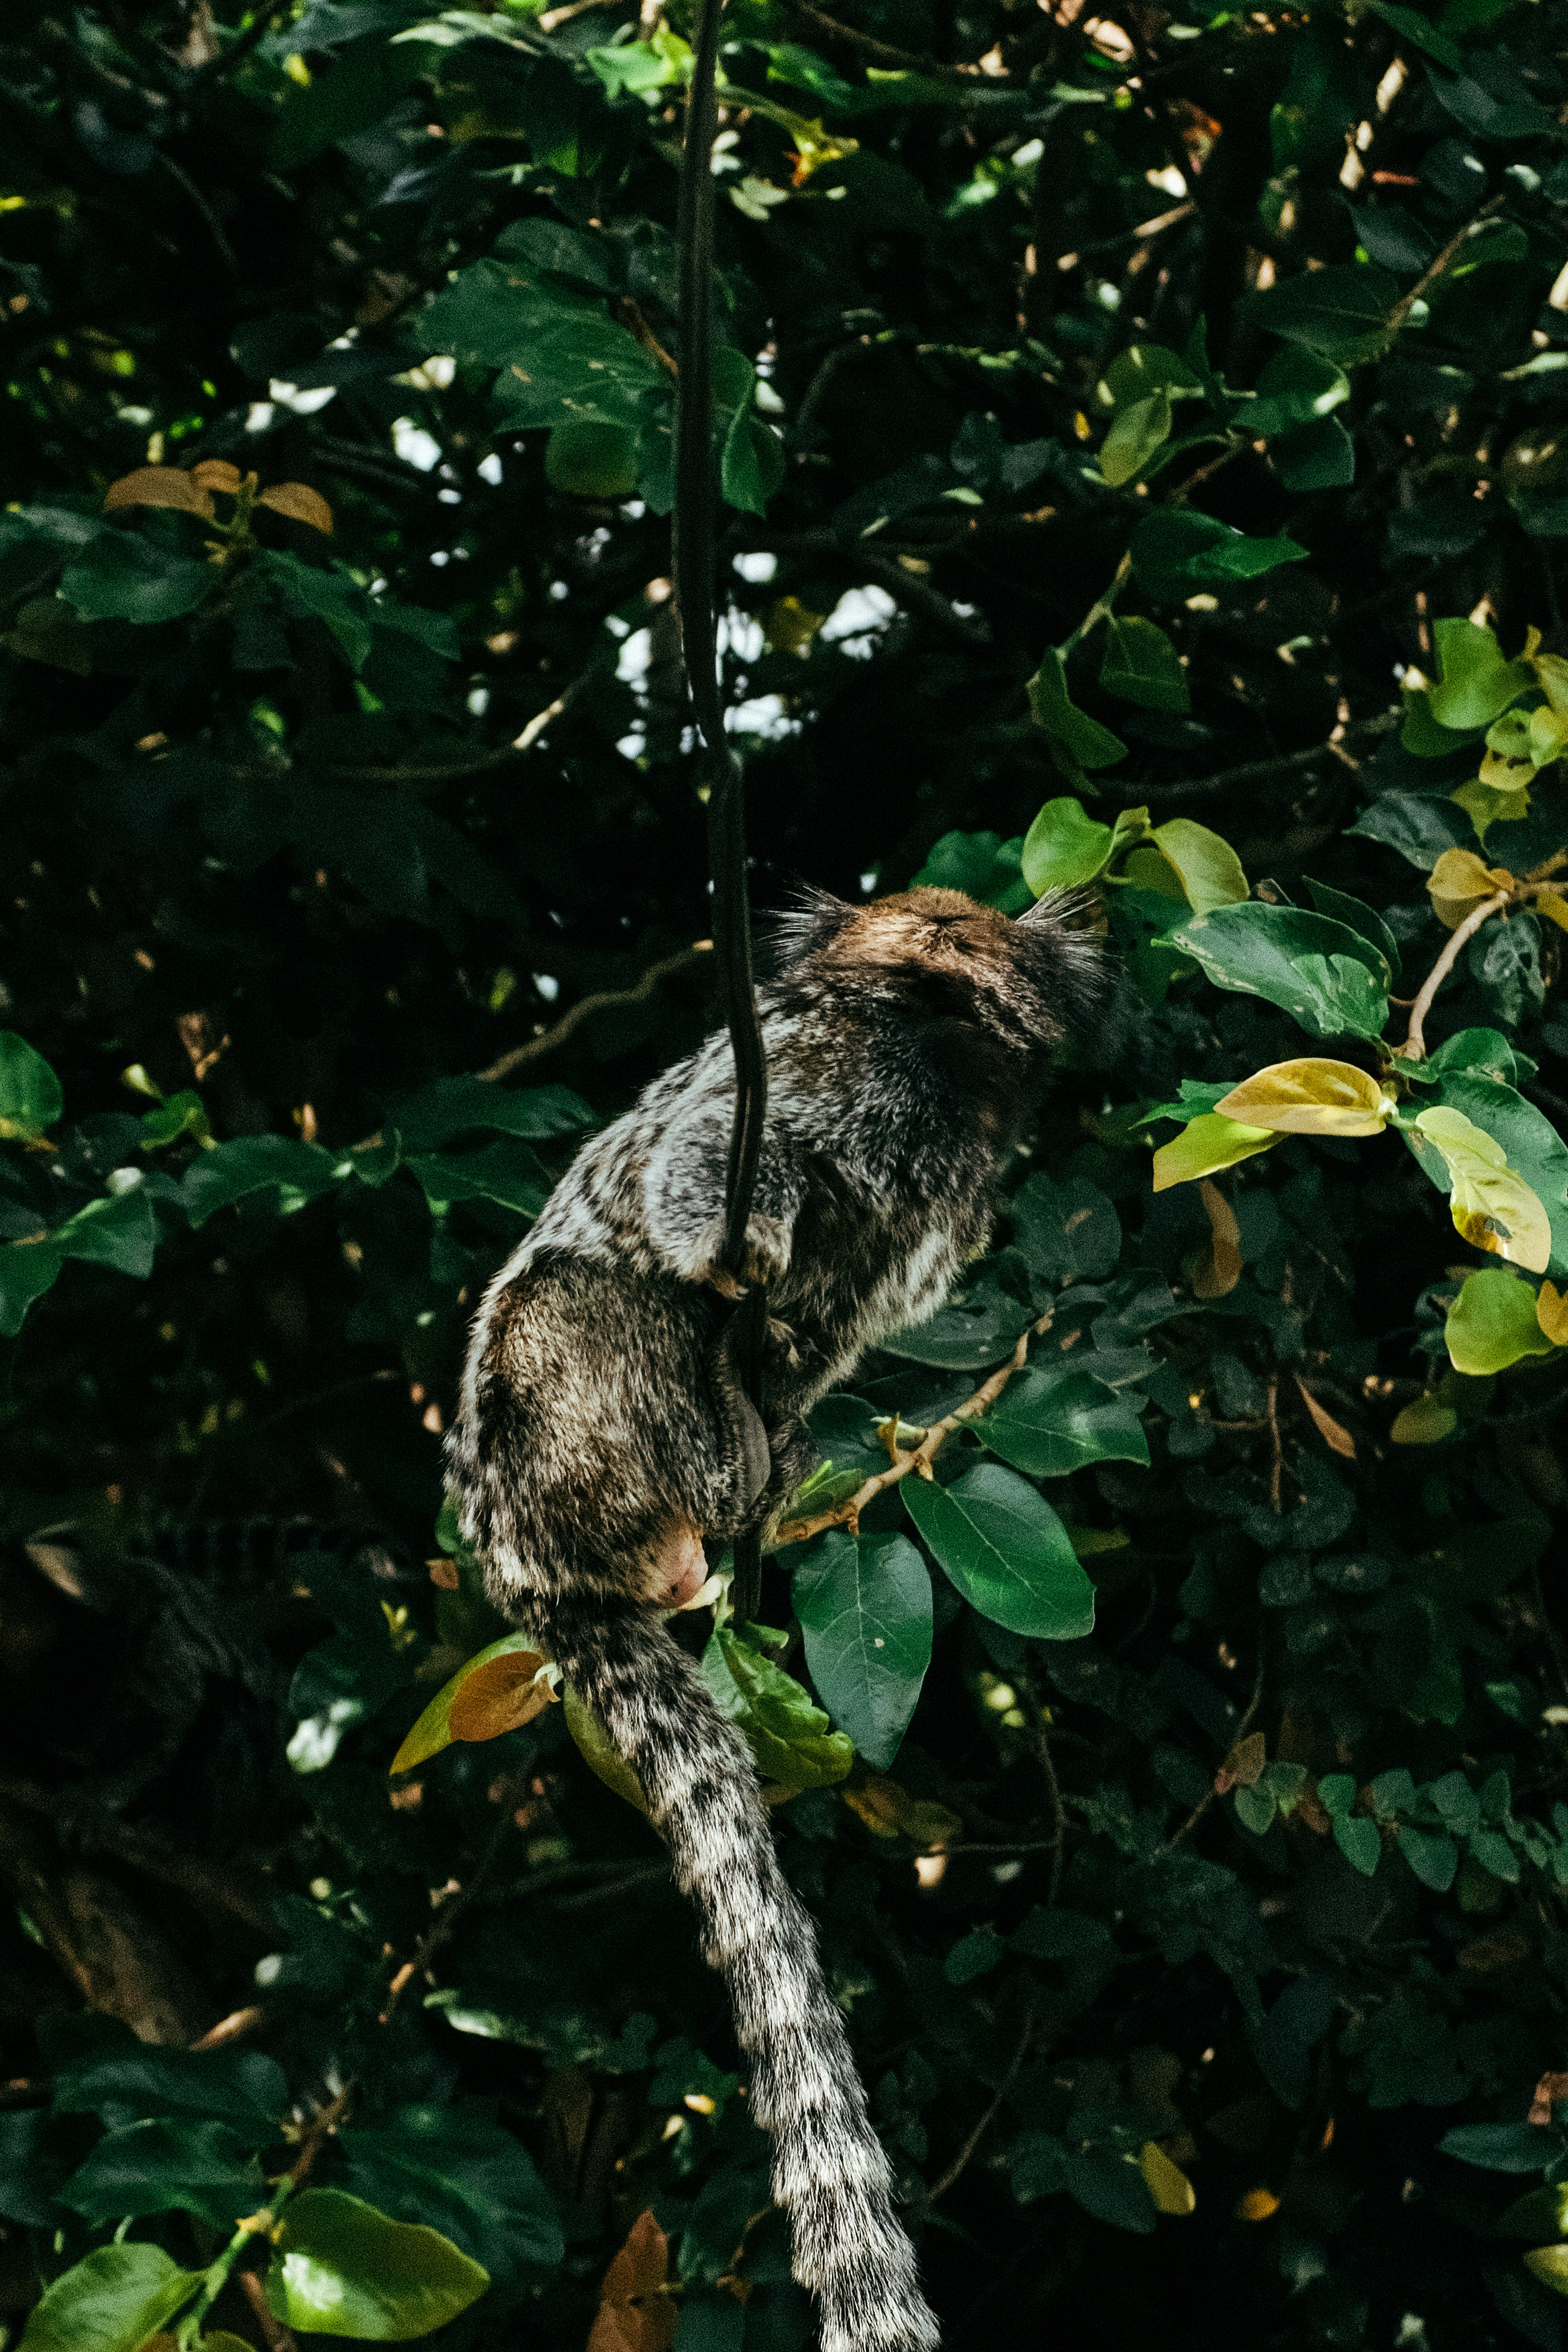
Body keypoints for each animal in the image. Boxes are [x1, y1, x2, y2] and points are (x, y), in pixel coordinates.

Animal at [446, 884, 1110, 2352]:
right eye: (916, 938)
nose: (927, 954)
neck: (937, 1066)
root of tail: (535, 1580)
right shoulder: (812, 1080)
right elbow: (699, 1169)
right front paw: (739, 1249)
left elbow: (827, 1335)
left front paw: (787, 1396)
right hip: (558, 1418)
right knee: (588, 1293)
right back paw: (711, 1457)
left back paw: (751, 1469)